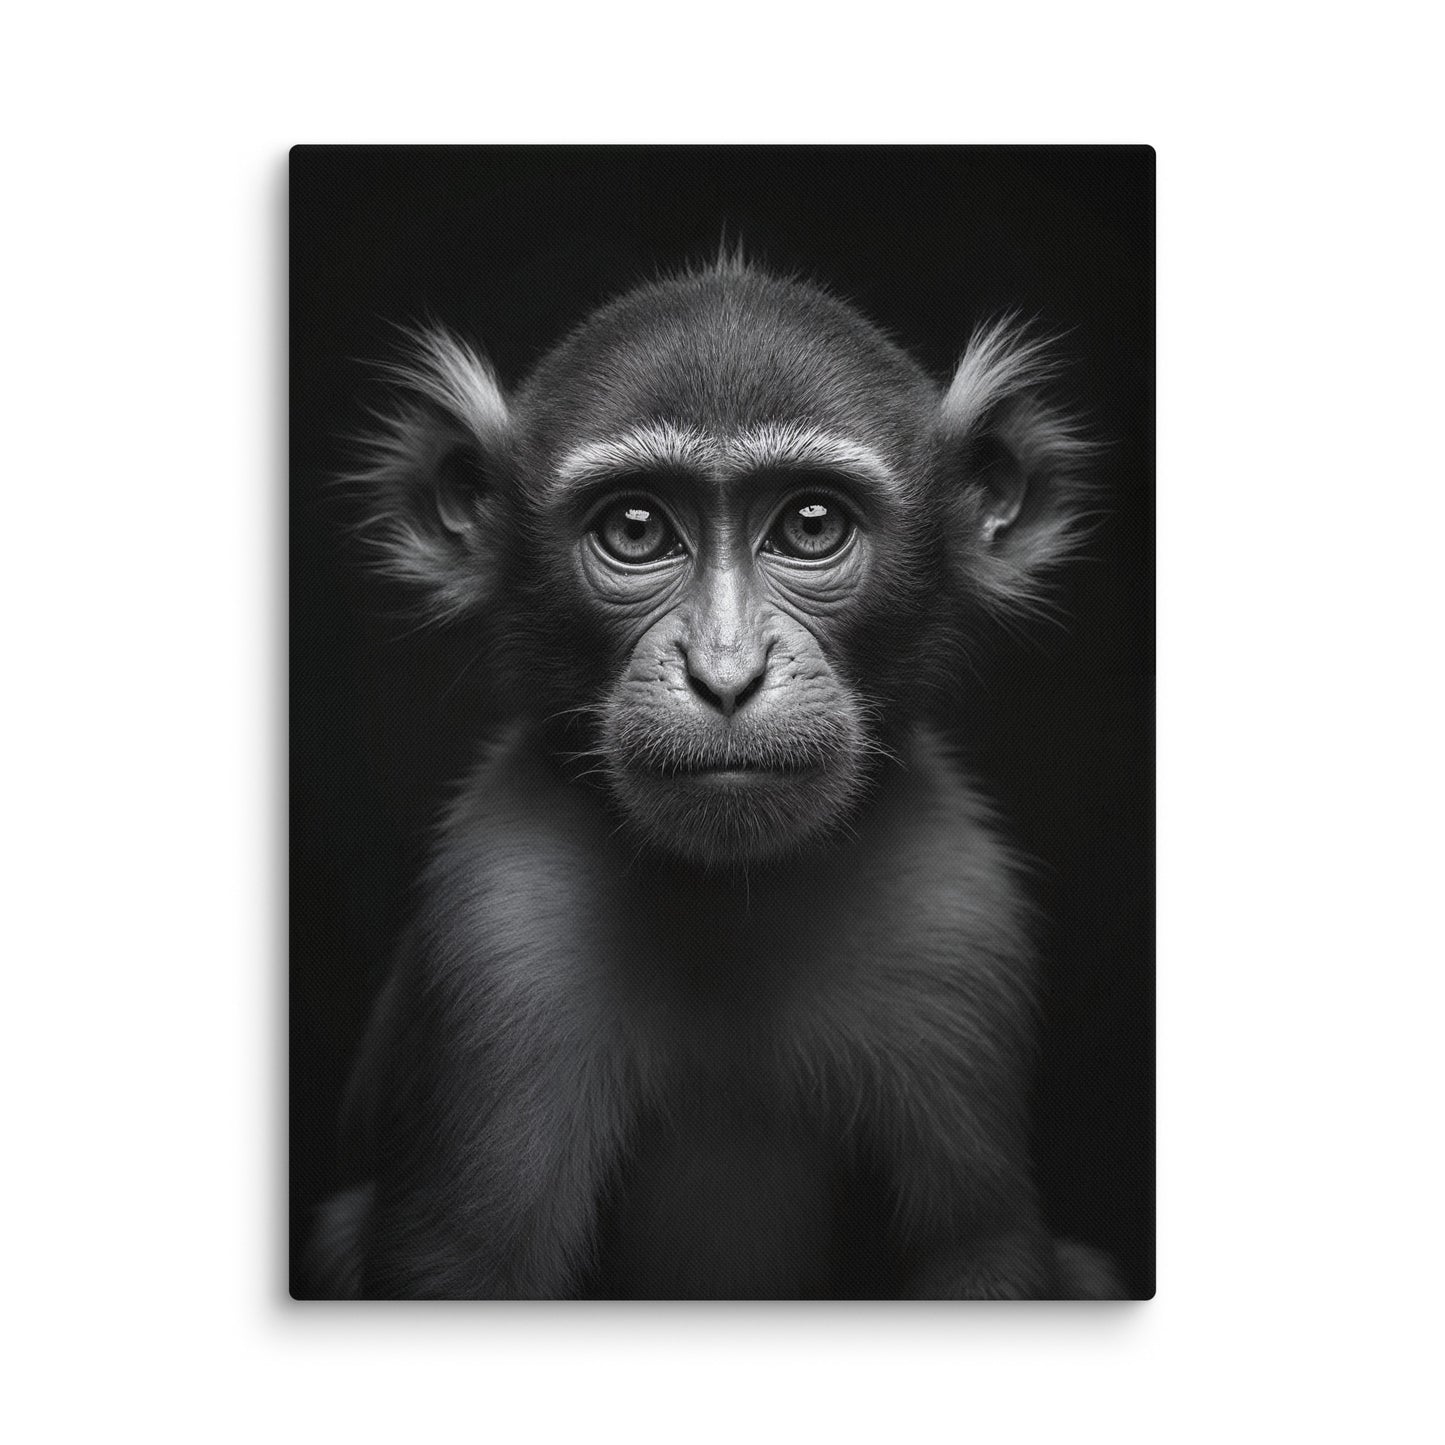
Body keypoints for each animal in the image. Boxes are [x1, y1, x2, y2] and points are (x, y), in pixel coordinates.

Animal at [303, 258, 1125, 1299]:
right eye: (636, 528)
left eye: (810, 524)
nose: (726, 673)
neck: (733, 890)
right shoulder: (501, 918)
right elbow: (463, 1263)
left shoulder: (953, 903)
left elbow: (978, 1248)